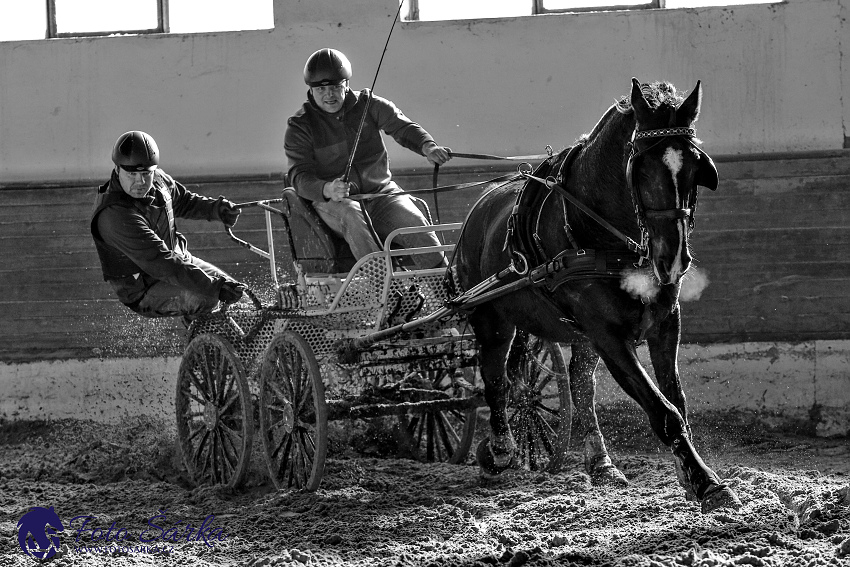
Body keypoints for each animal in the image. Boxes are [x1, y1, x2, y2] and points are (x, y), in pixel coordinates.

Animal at [454, 79, 740, 516]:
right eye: (641, 167)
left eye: (694, 166)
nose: (672, 257)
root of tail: (480, 207)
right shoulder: (608, 334)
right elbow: (664, 410)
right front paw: (707, 484)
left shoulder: (664, 323)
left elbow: (676, 401)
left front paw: (693, 473)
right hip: (491, 318)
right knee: (496, 376)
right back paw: (501, 449)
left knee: (577, 383)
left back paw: (600, 463)